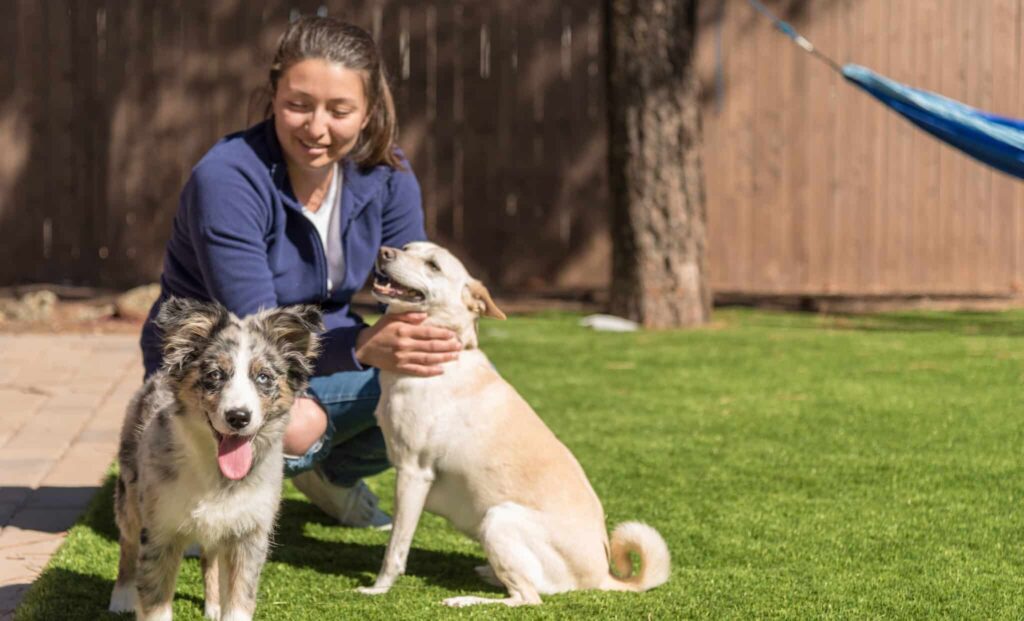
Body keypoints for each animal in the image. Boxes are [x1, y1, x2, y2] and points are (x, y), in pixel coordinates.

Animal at [110, 299, 321, 618]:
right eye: (214, 375)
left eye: (263, 377)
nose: (238, 417)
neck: (216, 473)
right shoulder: (161, 531)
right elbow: (155, 603)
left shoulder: (247, 536)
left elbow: (239, 602)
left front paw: (222, 606)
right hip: (129, 495)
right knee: (128, 542)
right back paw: (121, 596)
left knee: (210, 557)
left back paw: (213, 605)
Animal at [360, 241, 671, 606]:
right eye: (407, 247)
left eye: (433, 265)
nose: (384, 251)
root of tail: (601, 576)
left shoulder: (413, 473)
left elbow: (395, 548)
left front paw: (378, 588)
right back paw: (488, 574)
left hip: (498, 519)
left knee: (527, 598)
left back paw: (466, 600)